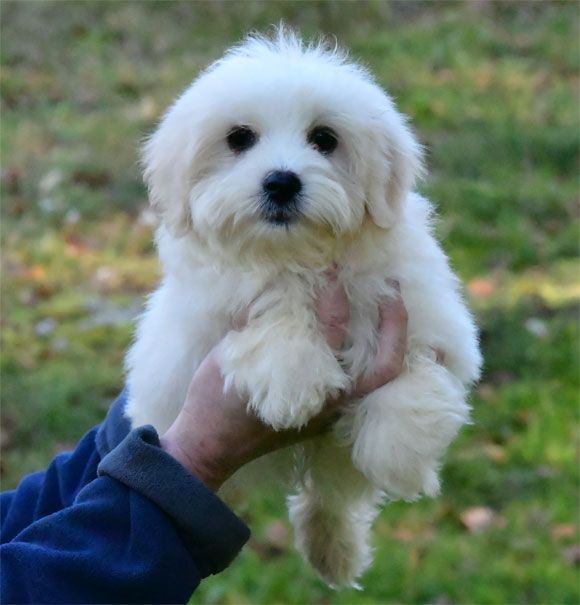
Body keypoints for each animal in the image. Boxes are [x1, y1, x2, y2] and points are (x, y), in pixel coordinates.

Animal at [124, 30, 482, 588]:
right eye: (239, 138)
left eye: (324, 139)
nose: (281, 181)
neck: (300, 255)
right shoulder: (222, 302)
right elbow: (273, 308)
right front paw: (292, 378)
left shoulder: (422, 311)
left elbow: (414, 369)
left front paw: (398, 453)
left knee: (329, 496)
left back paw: (334, 549)